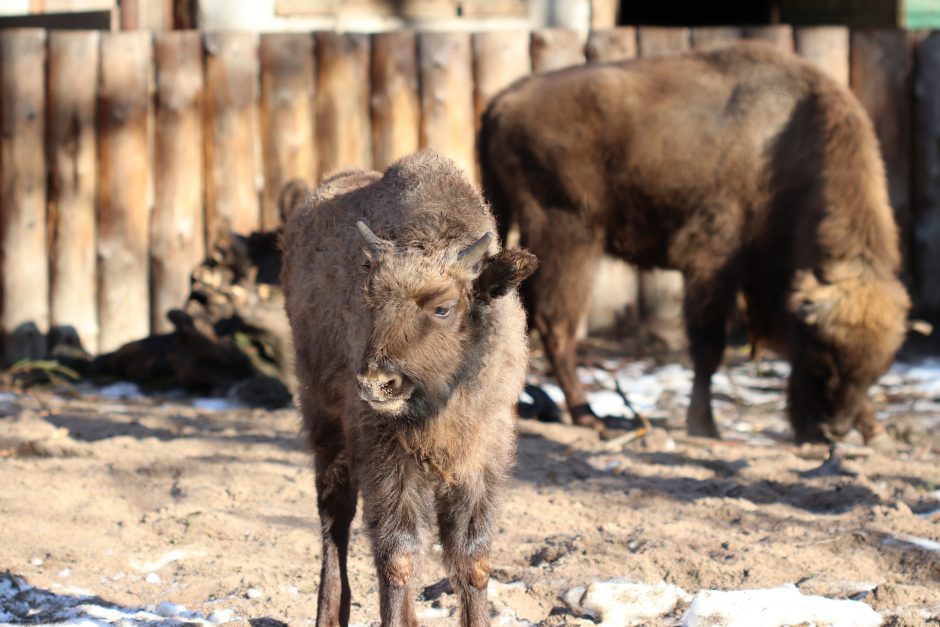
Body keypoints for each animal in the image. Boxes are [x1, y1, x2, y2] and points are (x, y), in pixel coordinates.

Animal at [280, 153, 536, 627]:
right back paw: (329, 613)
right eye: (370, 300)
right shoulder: (387, 456)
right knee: (334, 516)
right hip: (323, 418)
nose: (376, 383)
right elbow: (397, 553)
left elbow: (472, 557)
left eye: (443, 307)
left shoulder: (480, 456)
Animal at [482, 41, 908, 444]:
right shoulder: (714, 261)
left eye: (875, 372)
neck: (785, 142)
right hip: (568, 237)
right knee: (557, 325)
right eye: (822, 360)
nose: (833, 431)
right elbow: (709, 345)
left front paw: (877, 432)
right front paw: (705, 425)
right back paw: (587, 416)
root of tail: (503, 100)